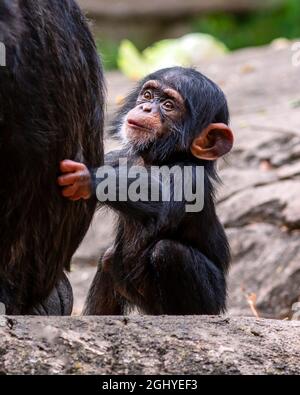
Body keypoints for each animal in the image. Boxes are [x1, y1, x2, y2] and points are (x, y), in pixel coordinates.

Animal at [57, 67, 233, 316]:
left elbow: (165, 203)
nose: (146, 108)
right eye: (148, 95)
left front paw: (85, 178)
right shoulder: (118, 158)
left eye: (168, 105)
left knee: (169, 251)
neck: (156, 159)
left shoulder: (189, 175)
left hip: (212, 302)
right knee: (108, 261)